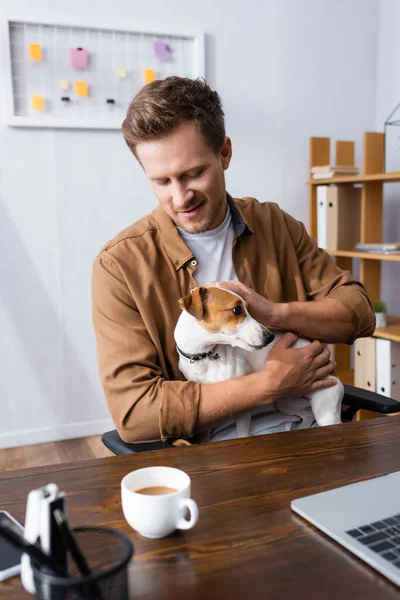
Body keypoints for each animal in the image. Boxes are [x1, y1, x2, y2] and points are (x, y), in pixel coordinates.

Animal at [175, 284, 344, 436]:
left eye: (249, 309)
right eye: (236, 310)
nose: (270, 337)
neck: (203, 356)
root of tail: (335, 375)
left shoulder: (242, 409)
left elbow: (242, 434)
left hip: (326, 412)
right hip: (286, 402)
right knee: (307, 415)